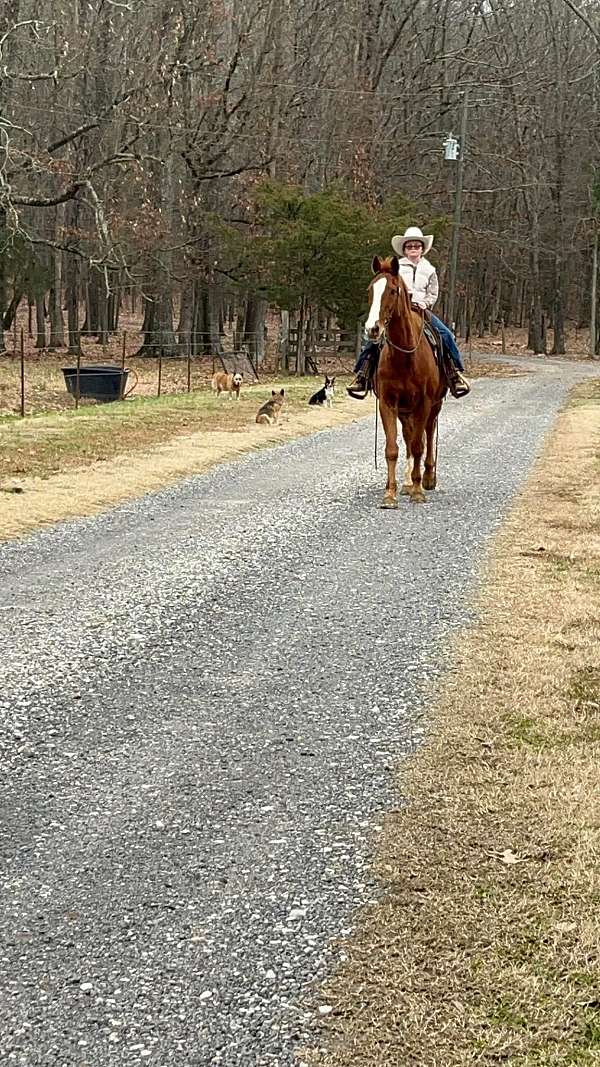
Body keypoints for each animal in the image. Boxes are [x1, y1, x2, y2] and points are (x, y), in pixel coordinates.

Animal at [365, 256, 444, 510]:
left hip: (434, 406)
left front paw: (418, 491)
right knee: (409, 437)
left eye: (392, 290)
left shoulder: (424, 404)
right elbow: (393, 449)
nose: (372, 328)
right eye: (370, 290)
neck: (405, 356)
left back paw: (426, 478)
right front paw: (390, 494)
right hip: (405, 410)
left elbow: (419, 446)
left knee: (427, 434)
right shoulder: (388, 404)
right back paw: (408, 482)